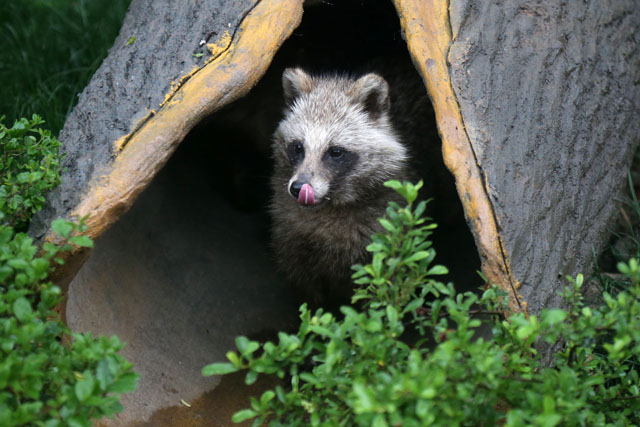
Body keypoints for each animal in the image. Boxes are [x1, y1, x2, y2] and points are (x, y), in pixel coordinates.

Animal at [272, 67, 418, 308]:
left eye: (335, 152)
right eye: (298, 147)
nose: (299, 187)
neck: (330, 205)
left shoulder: (386, 224)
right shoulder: (290, 228)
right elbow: (303, 283)